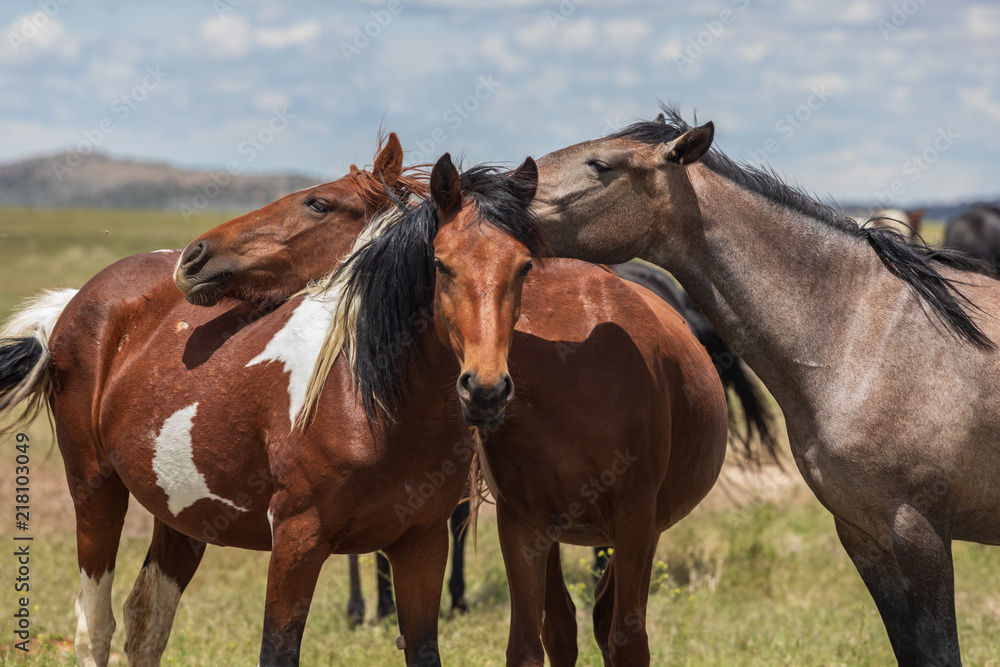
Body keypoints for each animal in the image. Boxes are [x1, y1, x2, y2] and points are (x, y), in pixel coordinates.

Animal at [0, 136, 472, 667]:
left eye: (318, 203)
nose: (194, 255)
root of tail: (76, 299)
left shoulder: (420, 540)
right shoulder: (297, 540)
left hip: (181, 510)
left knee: (145, 619)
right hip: (93, 487)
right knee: (94, 627)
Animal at [300, 154, 724, 664]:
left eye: (523, 268)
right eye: (440, 264)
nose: (485, 390)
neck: (572, 381)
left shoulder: (636, 524)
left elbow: (628, 641)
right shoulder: (523, 527)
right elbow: (527, 644)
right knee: (565, 623)